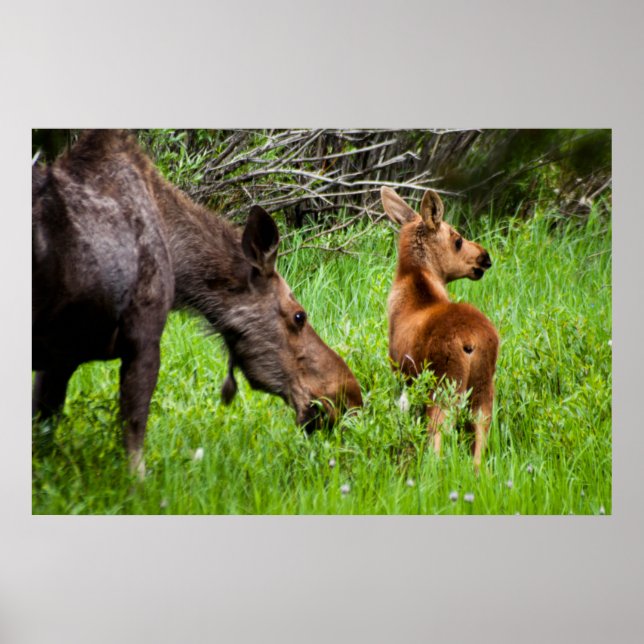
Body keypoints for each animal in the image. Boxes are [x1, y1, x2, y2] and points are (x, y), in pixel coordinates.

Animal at [32, 130, 362, 477]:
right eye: (299, 316)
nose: (349, 396)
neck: (177, 258)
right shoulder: (143, 340)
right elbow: (135, 448)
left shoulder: (62, 357)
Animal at [380, 186, 499, 469]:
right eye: (458, 240)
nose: (485, 257)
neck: (417, 280)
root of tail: (471, 341)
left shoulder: (399, 371)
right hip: (483, 388)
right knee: (480, 438)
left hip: (444, 384)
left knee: (438, 437)